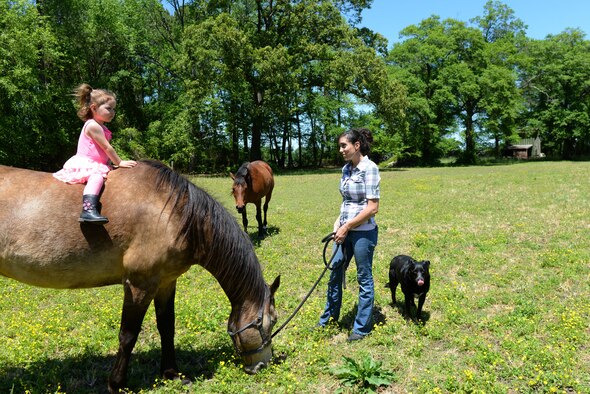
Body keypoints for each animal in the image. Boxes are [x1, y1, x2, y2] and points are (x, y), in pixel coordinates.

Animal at [0, 159, 282, 390]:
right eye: (273, 320)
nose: (261, 366)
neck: (174, 212)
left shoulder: (166, 282)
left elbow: (167, 327)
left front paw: (172, 374)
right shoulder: (140, 285)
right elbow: (128, 335)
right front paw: (116, 383)